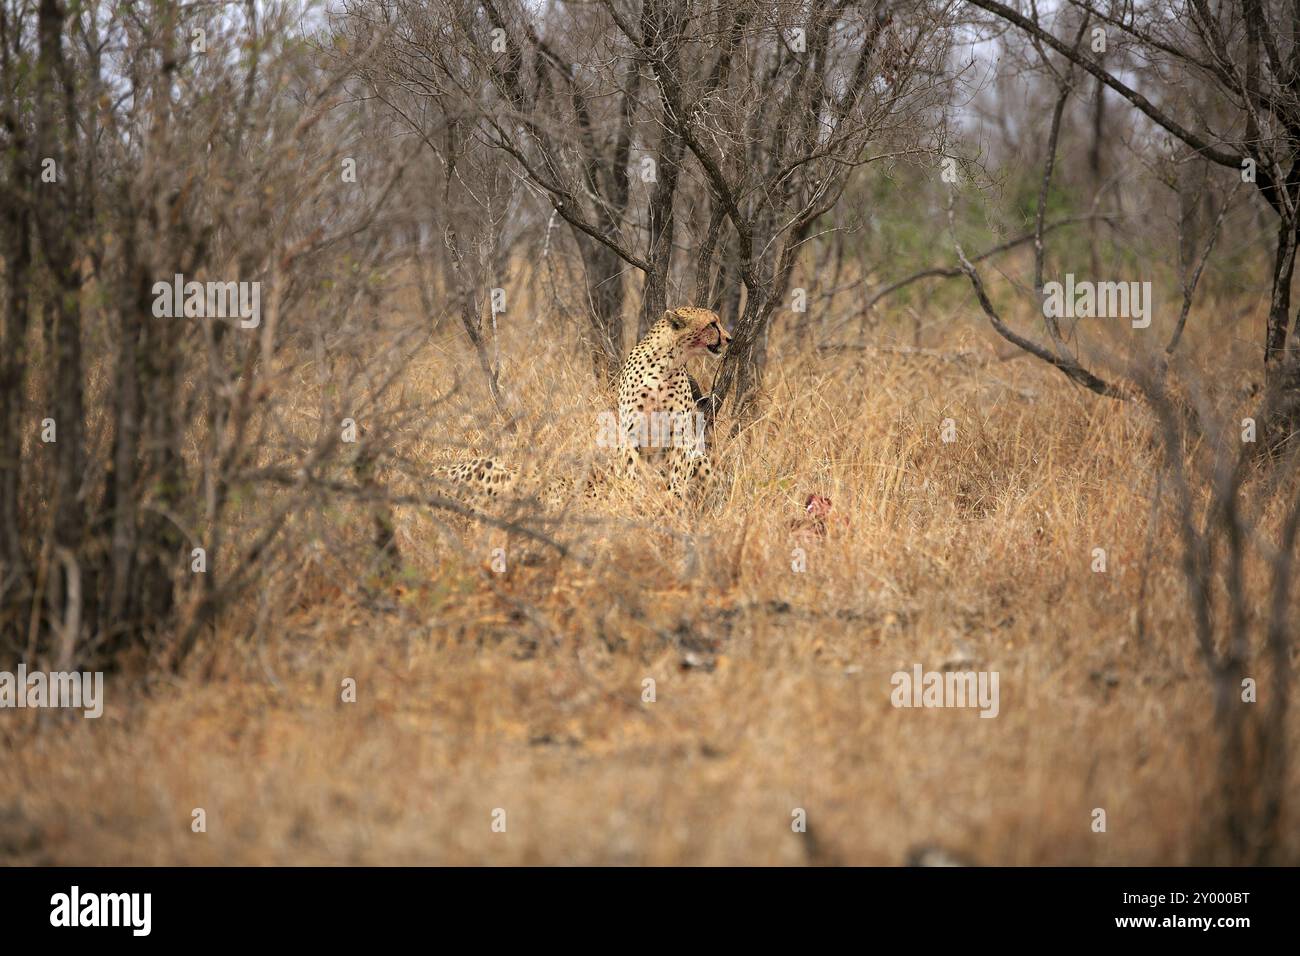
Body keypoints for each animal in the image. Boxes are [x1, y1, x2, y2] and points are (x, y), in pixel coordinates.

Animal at [434, 310, 733, 509]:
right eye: (712, 324)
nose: (730, 338)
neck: (667, 363)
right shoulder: (631, 431)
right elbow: (632, 469)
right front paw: (637, 497)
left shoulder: (679, 434)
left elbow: (676, 470)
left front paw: (671, 499)